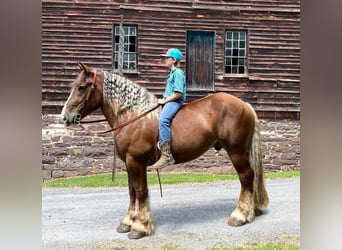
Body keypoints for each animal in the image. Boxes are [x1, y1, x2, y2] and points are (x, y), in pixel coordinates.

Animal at [62, 61, 270, 239]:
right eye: (73, 85)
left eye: (82, 87)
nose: (65, 117)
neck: (133, 117)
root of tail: (245, 105)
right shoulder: (129, 163)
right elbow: (131, 191)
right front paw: (128, 221)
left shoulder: (136, 162)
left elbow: (141, 191)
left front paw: (140, 226)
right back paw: (253, 210)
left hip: (236, 152)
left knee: (246, 177)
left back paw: (240, 215)